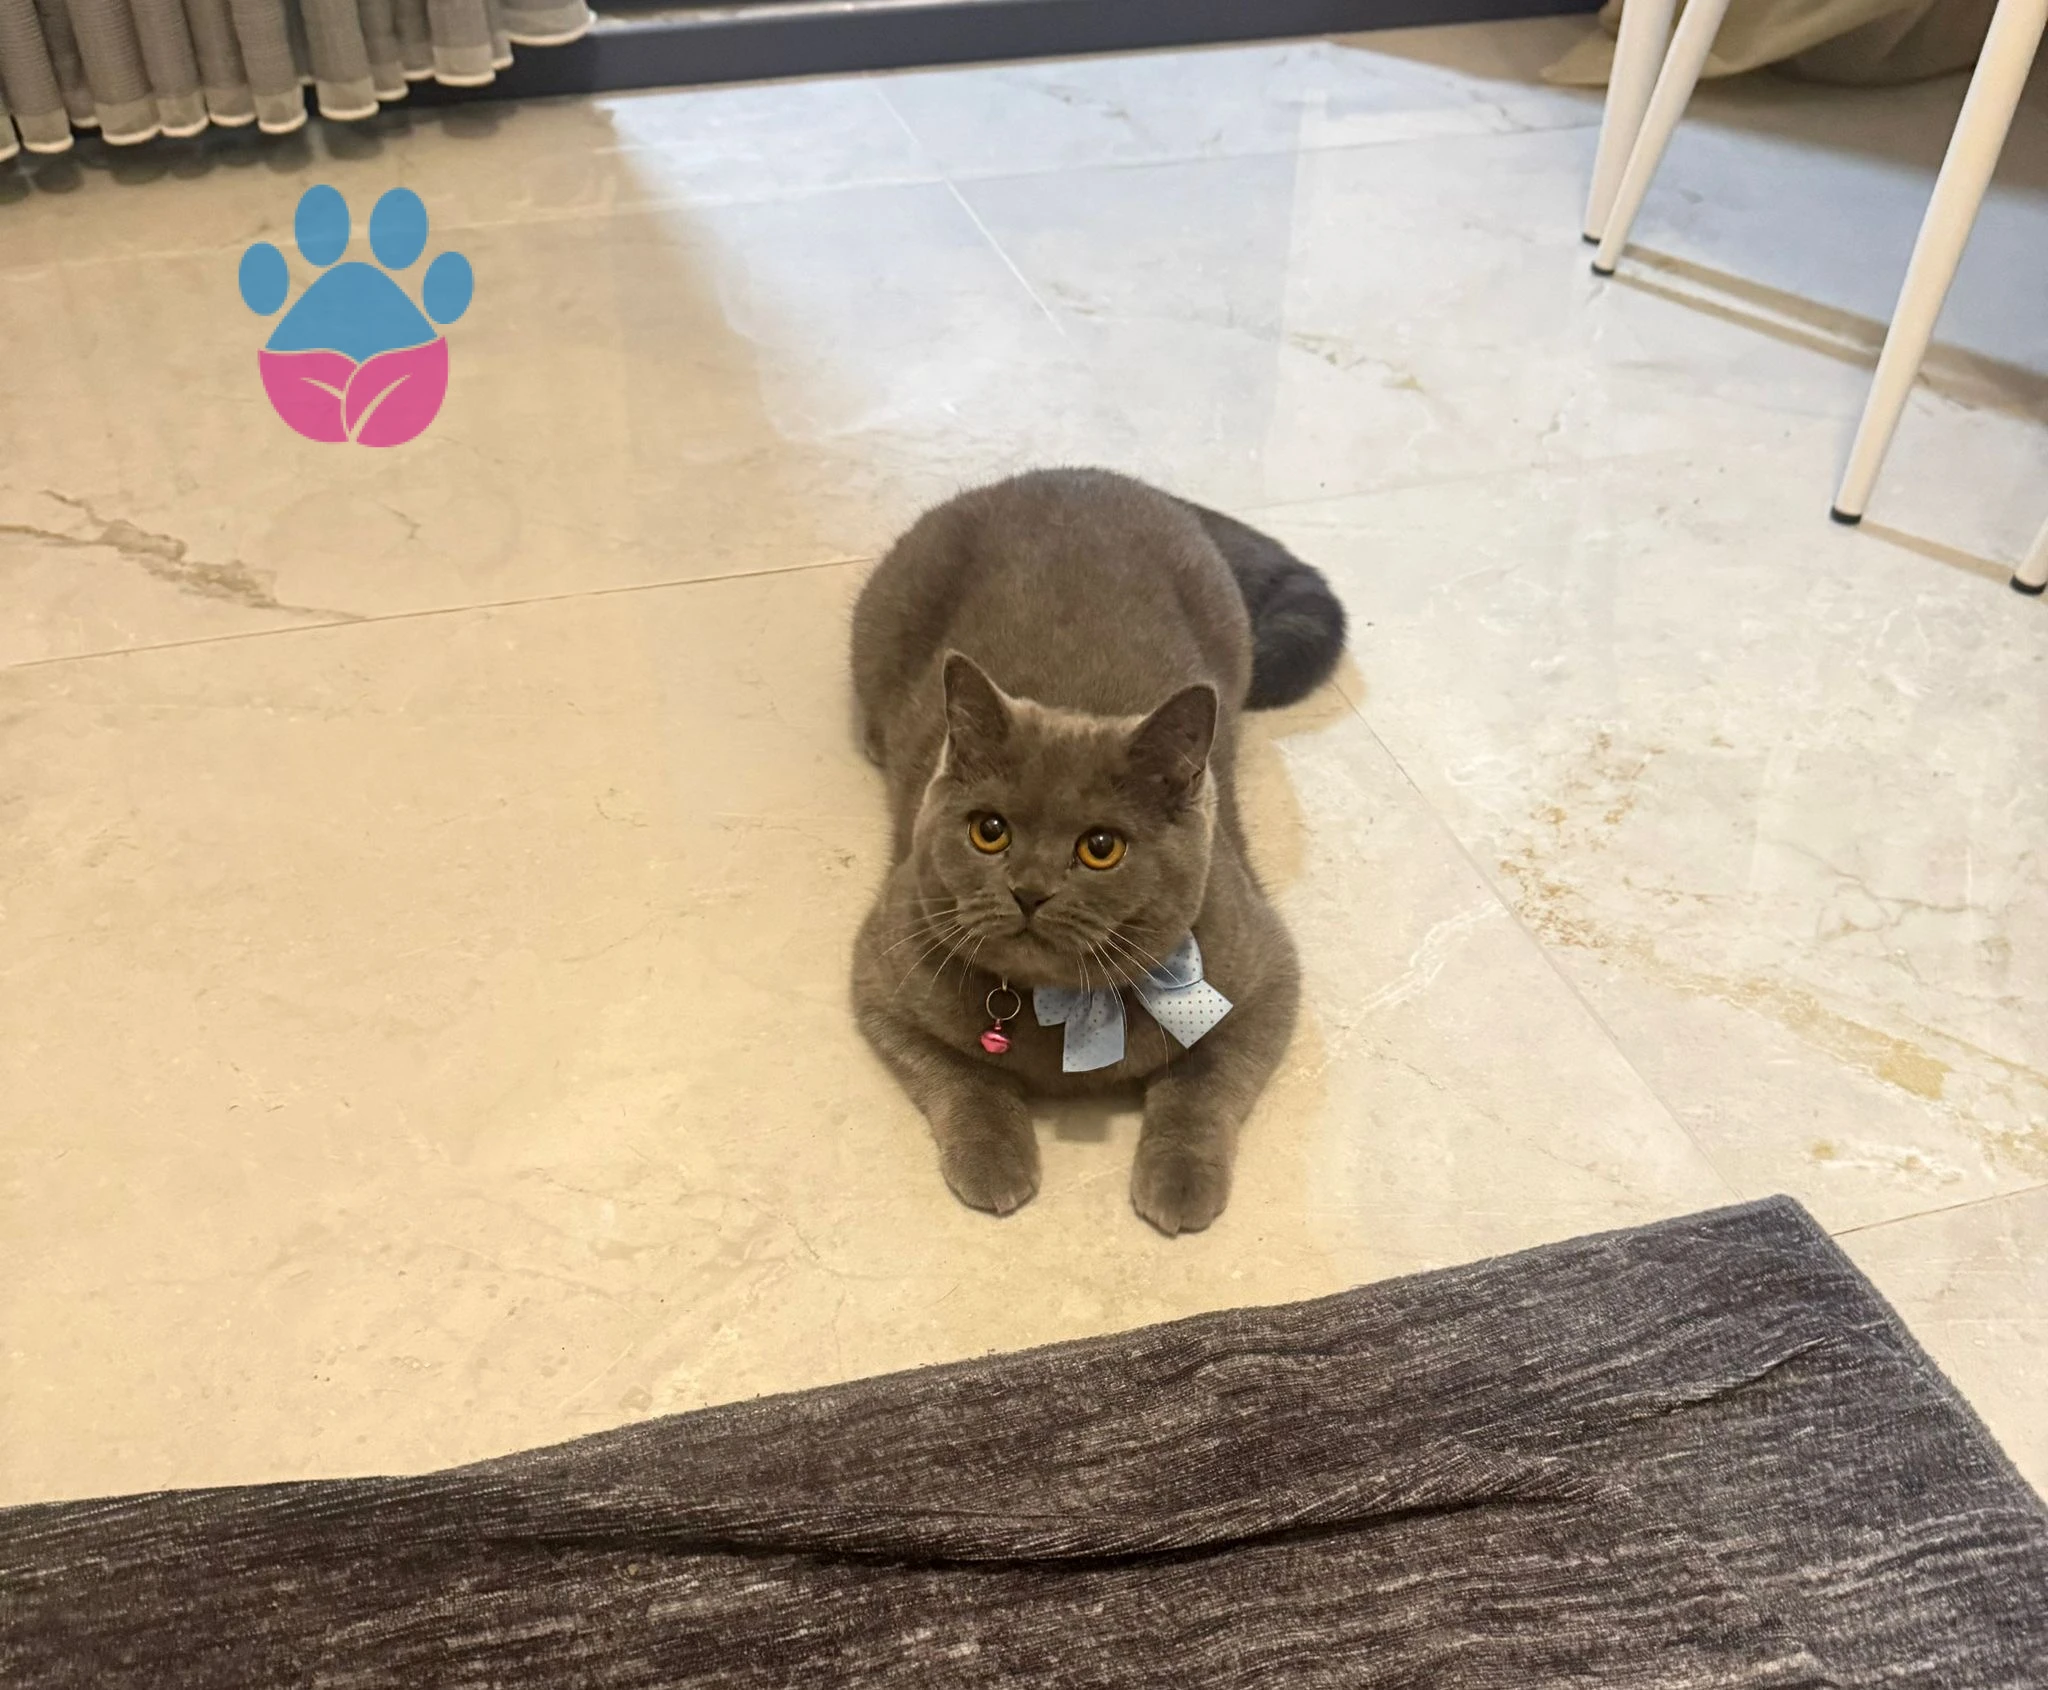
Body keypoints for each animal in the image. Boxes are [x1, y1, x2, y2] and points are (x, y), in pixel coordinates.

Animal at [849, 468, 1346, 1235]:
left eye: (1101, 848)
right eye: (989, 831)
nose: (1027, 889)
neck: (1063, 1009)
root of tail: (1081, 471)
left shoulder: (1268, 978)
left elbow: (1204, 1083)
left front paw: (1180, 1182)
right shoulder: (880, 976)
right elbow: (962, 1076)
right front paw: (994, 1161)